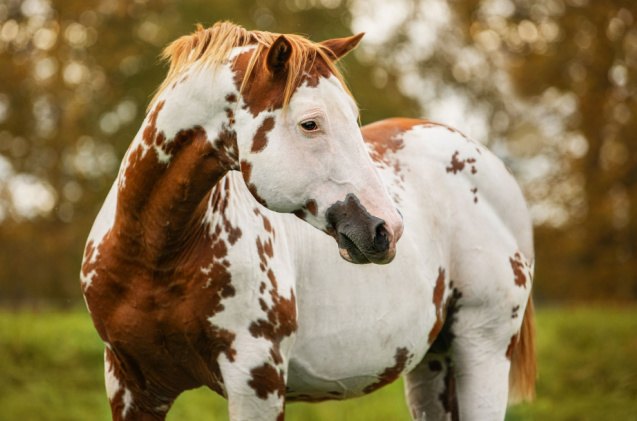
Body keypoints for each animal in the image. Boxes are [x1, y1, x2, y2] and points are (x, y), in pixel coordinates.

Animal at [80, 21, 536, 418]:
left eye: (353, 119)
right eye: (310, 123)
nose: (387, 229)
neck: (156, 254)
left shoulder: (256, 381)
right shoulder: (129, 386)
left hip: (482, 348)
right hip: (433, 363)